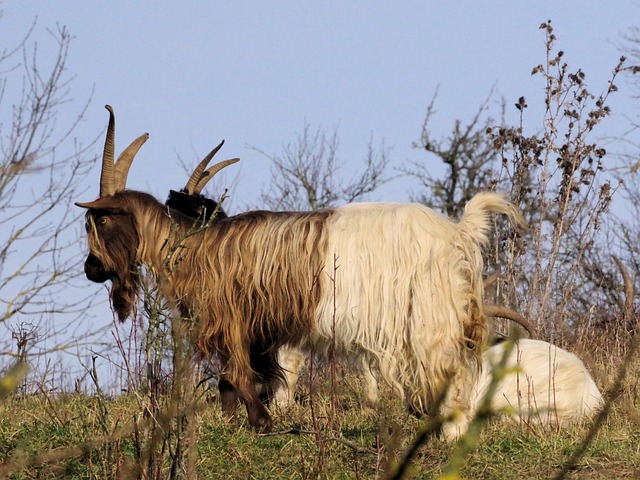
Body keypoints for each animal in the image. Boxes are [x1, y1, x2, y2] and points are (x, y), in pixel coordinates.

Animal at [76, 106, 524, 438]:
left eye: (100, 220)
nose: (91, 269)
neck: (196, 245)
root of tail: (460, 232)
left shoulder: (233, 318)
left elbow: (237, 373)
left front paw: (261, 423)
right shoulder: (256, 328)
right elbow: (232, 379)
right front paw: (234, 422)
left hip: (431, 319)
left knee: (450, 373)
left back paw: (448, 433)